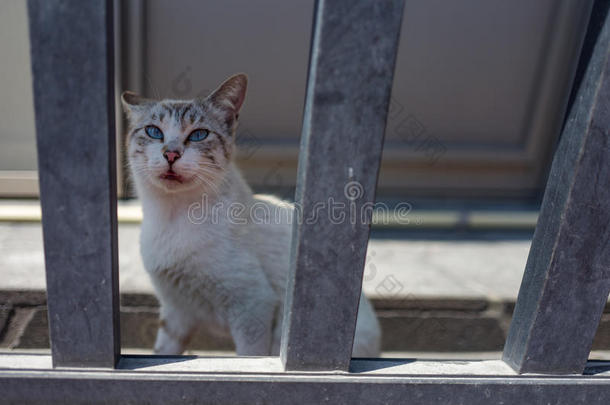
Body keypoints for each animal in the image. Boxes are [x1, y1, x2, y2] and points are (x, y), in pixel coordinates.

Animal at [120, 74, 378, 356]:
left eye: (199, 134)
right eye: (154, 132)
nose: (171, 153)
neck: (172, 217)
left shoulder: (252, 308)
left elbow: (248, 357)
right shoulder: (176, 311)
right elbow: (164, 353)